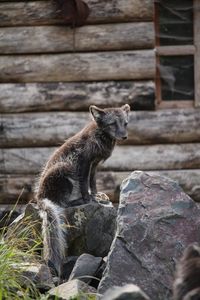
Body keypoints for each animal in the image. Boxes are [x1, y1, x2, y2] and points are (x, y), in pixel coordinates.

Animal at [35, 104, 130, 276]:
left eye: (125, 123)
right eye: (113, 124)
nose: (124, 136)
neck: (99, 136)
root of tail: (40, 197)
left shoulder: (95, 165)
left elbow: (93, 184)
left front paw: (98, 196)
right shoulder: (85, 162)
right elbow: (85, 185)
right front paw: (89, 199)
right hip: (63, 170)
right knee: (62, 204)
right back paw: (78, 201)